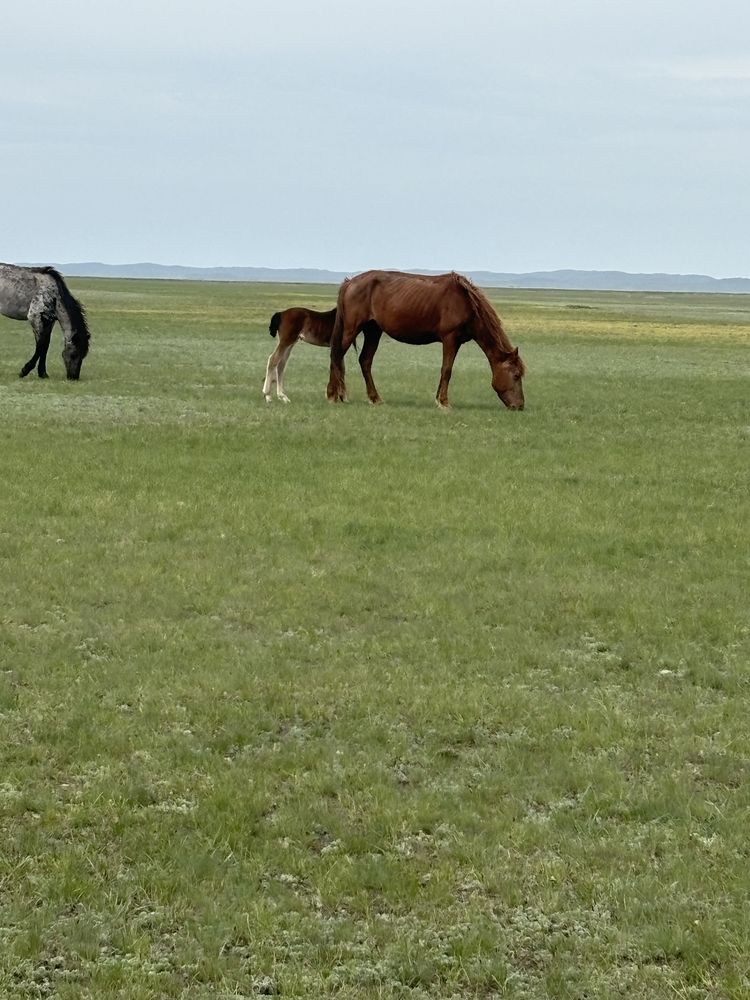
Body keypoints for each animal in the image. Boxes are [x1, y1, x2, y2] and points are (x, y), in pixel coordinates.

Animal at [326, 270, 524, 410]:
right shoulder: (450, 338)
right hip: (352, 329)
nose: (520, 406)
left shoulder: (457, 342)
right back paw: (333, 395)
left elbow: (445, 370)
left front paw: (438, 398)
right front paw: (444, 402)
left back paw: (374, 398)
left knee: (364, 361)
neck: (466, 302)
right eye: (516, 375)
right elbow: (447, 370)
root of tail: (349, 282)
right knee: (336, 356)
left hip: (373, 330)